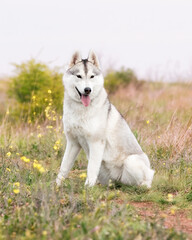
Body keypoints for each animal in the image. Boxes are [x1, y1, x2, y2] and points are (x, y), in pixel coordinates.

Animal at [56, 51, 154, 188]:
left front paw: (87, 189)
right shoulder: (73, 143)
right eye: (79, 76)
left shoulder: (96, 143)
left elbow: (91, 169)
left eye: (92, 76)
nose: (87, 90)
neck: (81, 110)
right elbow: (64, 167)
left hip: (131, 161)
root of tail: (117, 180)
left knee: (146, 179)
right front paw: (56, 186)